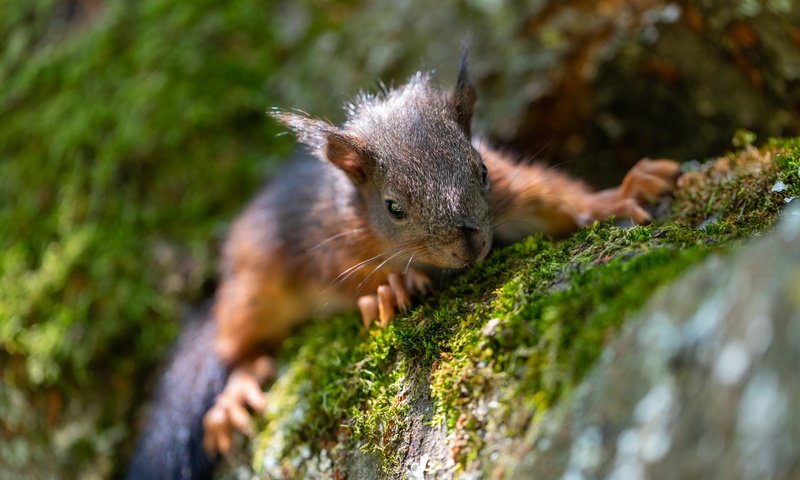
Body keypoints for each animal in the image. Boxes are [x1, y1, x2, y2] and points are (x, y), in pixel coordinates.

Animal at [128, 55, 680, 476]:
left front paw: (619, 194)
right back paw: (237, 389)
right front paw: (389, 289)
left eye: (481, 170)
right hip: (254, 290)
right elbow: (350, 277)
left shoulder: (510, 189)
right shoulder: (330, 243)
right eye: (393, 207)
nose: (471, 246)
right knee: (236, 344)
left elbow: (555, 199)